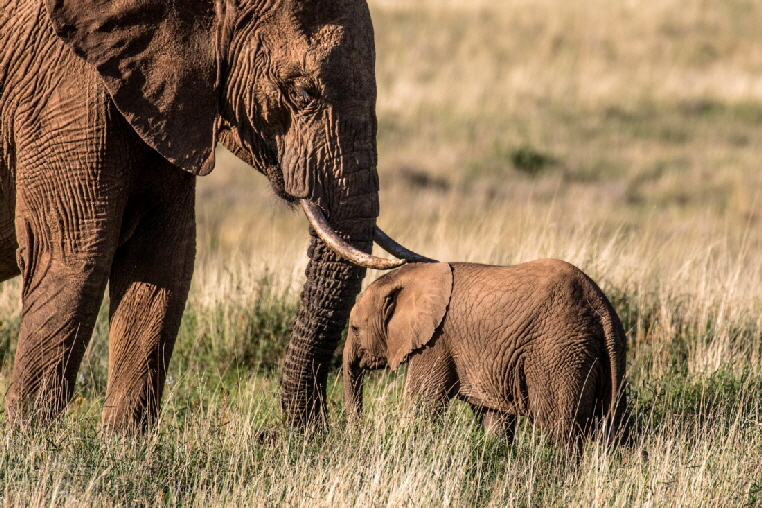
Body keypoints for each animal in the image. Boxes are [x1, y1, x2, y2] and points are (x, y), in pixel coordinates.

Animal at [0, 0, 422, 432]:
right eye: (302, 92)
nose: (322, 428)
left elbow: (162, 261)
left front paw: (122, 444)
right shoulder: (60, 94)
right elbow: (74, 258)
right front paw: (32, 440)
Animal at [342, 260, 628, 446]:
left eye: (355, 328)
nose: (358, 433)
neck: (412, 275)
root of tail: (601, 309)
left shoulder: (437, 341)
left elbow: (422, 404)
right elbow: (495, 420)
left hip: (558, 353)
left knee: (560, 430)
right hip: (610, 352)